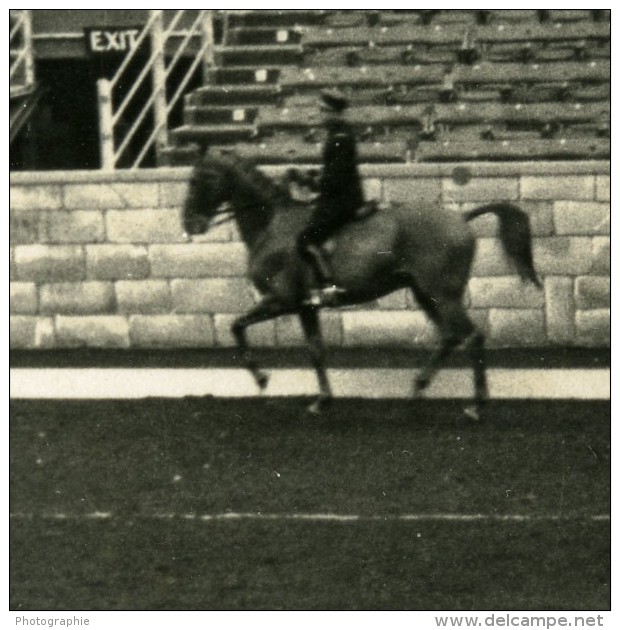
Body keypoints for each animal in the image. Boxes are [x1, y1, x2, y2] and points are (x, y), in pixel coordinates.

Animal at [180, 152, 536, 420]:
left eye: (200, 179)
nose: (189, 224)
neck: (272, 227)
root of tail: (460, 219)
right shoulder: (305, 307)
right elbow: (315, 349)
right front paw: (322, 400)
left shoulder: (280, 300)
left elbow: (236, 327)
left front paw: (262, 377)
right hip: (425, 293)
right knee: (450, 336)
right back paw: (418, 387)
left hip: (442, 294)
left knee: (471, 336)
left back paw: (475, 405)